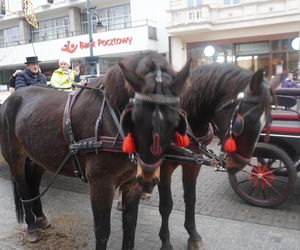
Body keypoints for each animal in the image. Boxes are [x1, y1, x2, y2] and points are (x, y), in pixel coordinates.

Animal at [0, 51, 190, 249]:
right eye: (135, 118)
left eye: (175, 121)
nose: (148, 178)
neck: (110, 117)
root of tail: (12, 98)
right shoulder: (101, 183)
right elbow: (102, 231)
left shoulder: (132, 183)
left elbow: (130, 225)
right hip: (16, 158)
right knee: (23, 187)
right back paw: (31, 227)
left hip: (39, 157)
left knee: (34, 183)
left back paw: (41, 217)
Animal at [157, 63, 274, 249]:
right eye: (240, 123)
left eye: (266, 123)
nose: (237, 164)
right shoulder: (164, 166)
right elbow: (166, 205)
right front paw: (166, 241)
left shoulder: (193, 164)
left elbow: (190, 199)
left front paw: (193, 234)